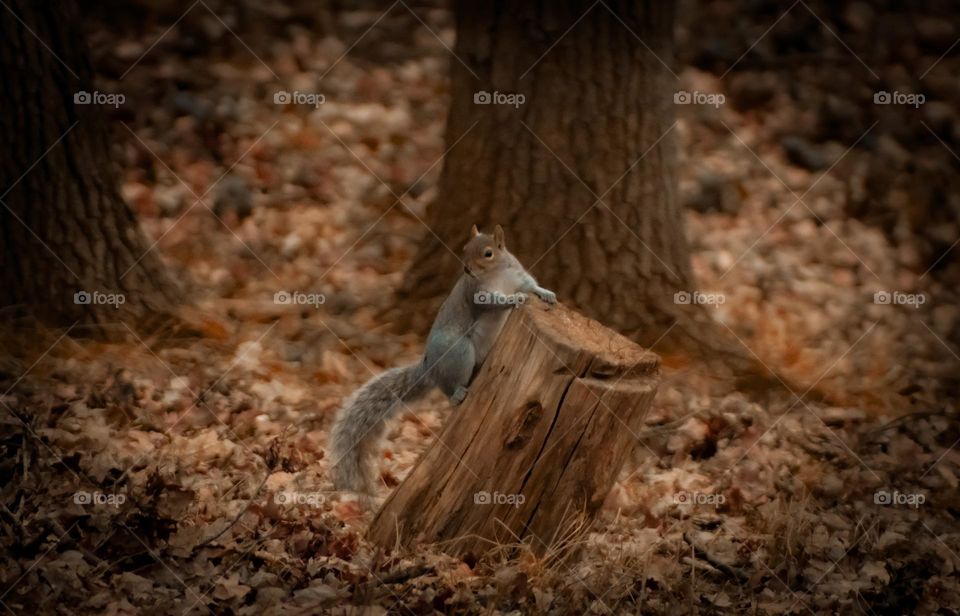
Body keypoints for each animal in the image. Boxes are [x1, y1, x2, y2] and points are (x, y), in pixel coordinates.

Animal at [330, 224, 557, 493]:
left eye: (488, 253)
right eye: (465, 248)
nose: (467, 269)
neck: (497, 273)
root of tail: (430, 368)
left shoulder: (518, 276)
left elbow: (531, 285)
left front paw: (546, 293)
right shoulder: (476, 292)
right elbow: (493, 303)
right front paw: (513, 300)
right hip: (460, 352)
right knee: (450, 389)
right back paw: (458, 393)